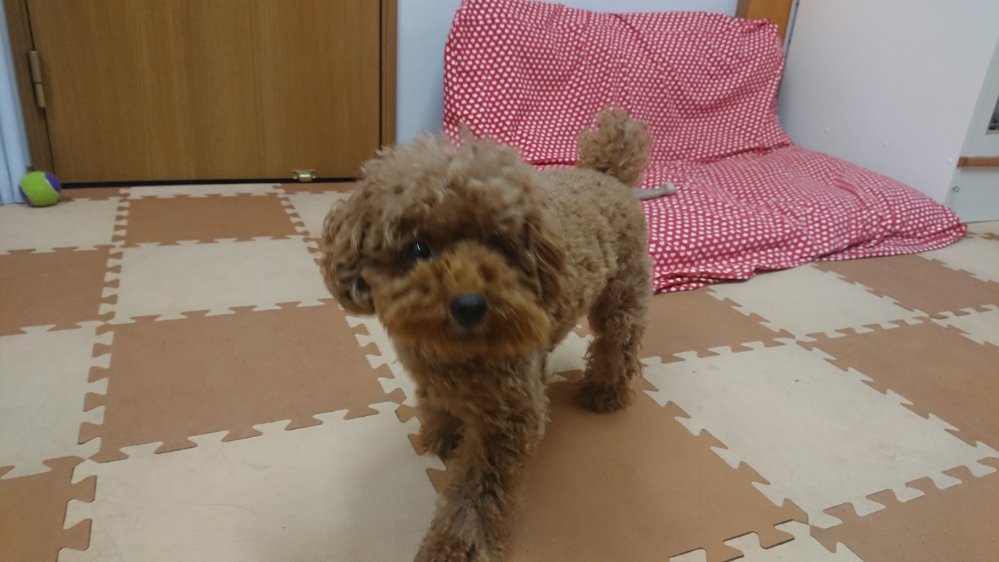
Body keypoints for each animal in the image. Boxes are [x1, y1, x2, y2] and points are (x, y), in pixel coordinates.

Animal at [321, 109, 665, 562]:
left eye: (500, 245)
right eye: (418, 249)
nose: (469, 304)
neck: (456, 349)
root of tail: (606, 173)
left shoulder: (509, 418)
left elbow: (476, 494)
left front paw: (453, 547)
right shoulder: (433, 374)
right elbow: (439, 405)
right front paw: (443, 434)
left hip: (623, 290)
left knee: (618, 341)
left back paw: (603, 393)